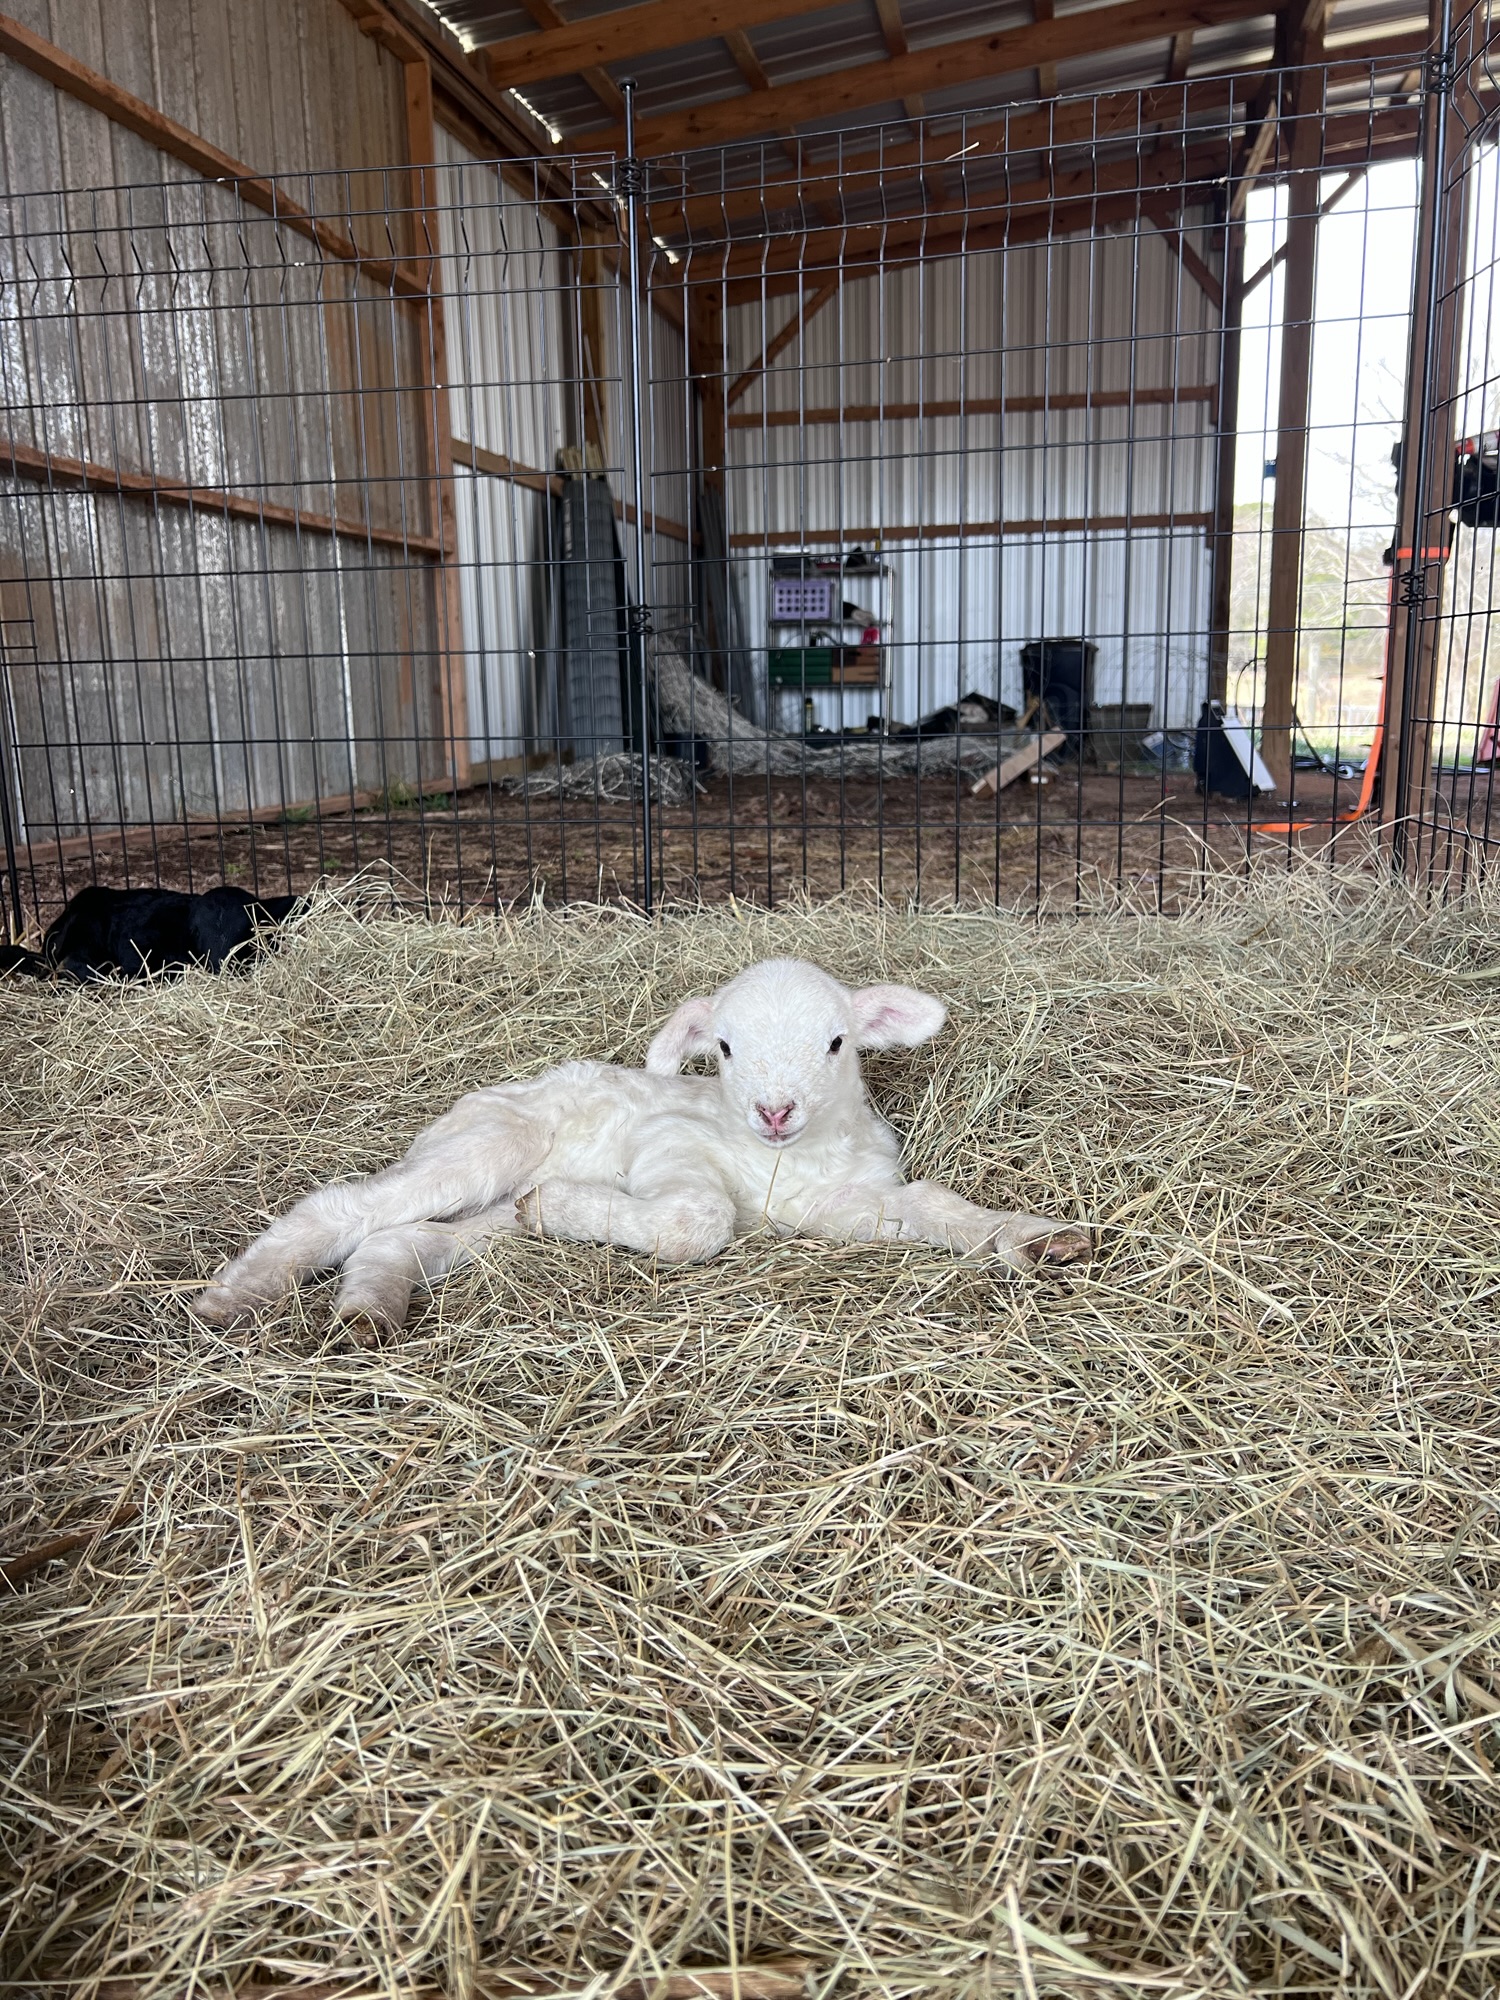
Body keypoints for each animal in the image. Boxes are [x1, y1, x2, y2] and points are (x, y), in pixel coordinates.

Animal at [196, 956, 1092, 1334]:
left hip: (485, 1217)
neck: (784, 1163)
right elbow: (697, 1221)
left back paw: (370, 1307)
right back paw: (238, 1293)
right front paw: (576, 1203)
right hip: (491, 1143)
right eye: (723, 1048)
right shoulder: (671, 1143)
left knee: (403, 1236)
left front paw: (1036, 1238)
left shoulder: (845, 1201)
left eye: (836, 1042)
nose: (774, 1111)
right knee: (349, 1208)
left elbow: (935, 1206)